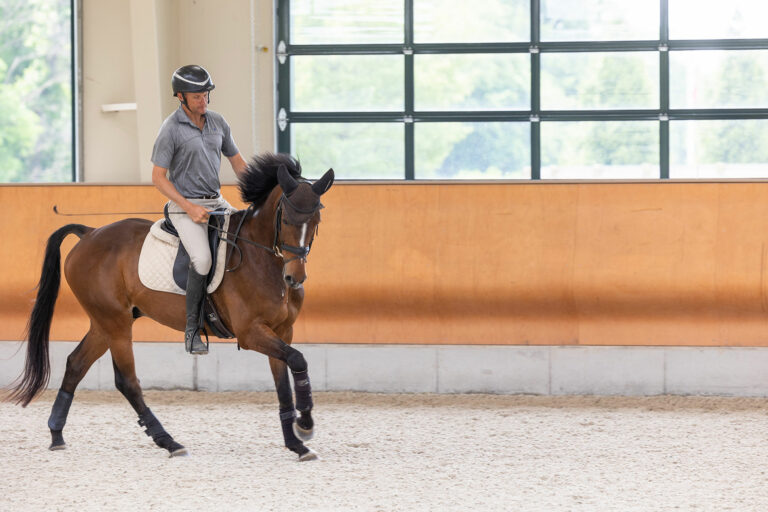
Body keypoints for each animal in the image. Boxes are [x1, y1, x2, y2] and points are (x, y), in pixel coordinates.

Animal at [3, 152, 332, 460]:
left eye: (316, 222)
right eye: (286, 220)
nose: (294, 278)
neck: (263, 259)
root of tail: (90, 233)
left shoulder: (281, 330)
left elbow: (284, 382)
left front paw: (296, 443)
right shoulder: (251, 333)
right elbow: (298, 360)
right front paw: (306, 425)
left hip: (104, 323)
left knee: (76, 364)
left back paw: (57, 434)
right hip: (115, 323)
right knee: (127, 381)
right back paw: (169, 441)